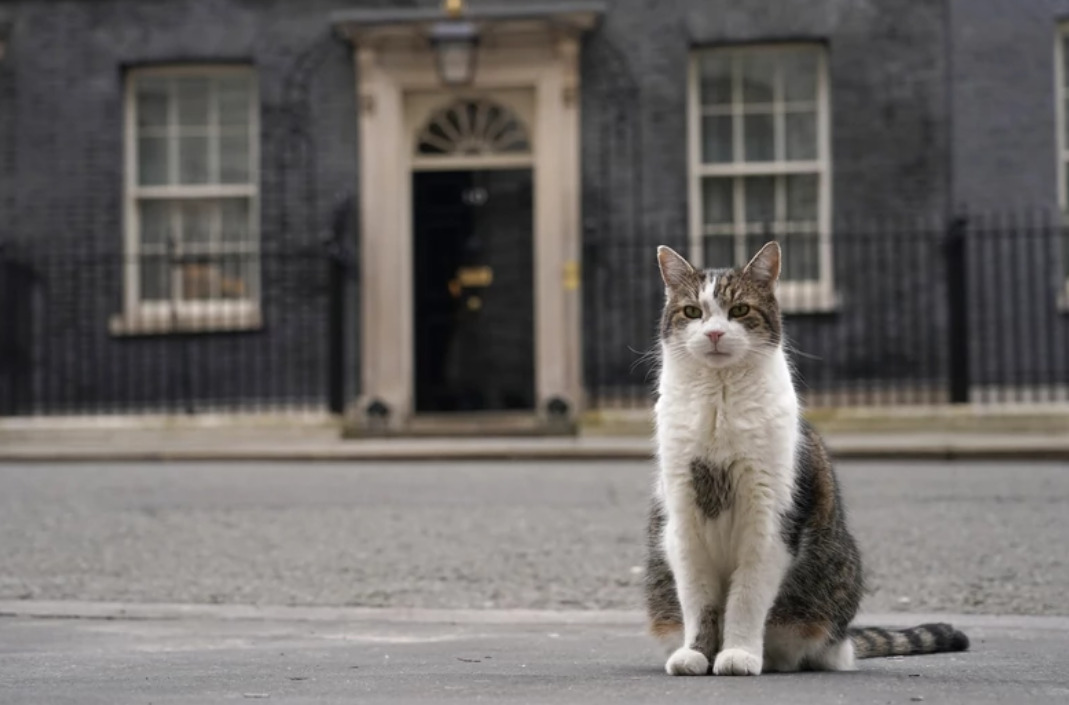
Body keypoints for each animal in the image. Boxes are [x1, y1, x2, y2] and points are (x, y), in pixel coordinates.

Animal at [641, 242, 970, 680]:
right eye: (692, 312)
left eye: (740, 310)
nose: (713, 333)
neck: (719, 401)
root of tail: (845, 641)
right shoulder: (683, 520)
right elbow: (699, 601)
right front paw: (696, 654)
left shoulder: (769, 520)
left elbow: (746, 598)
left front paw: (739, 653)